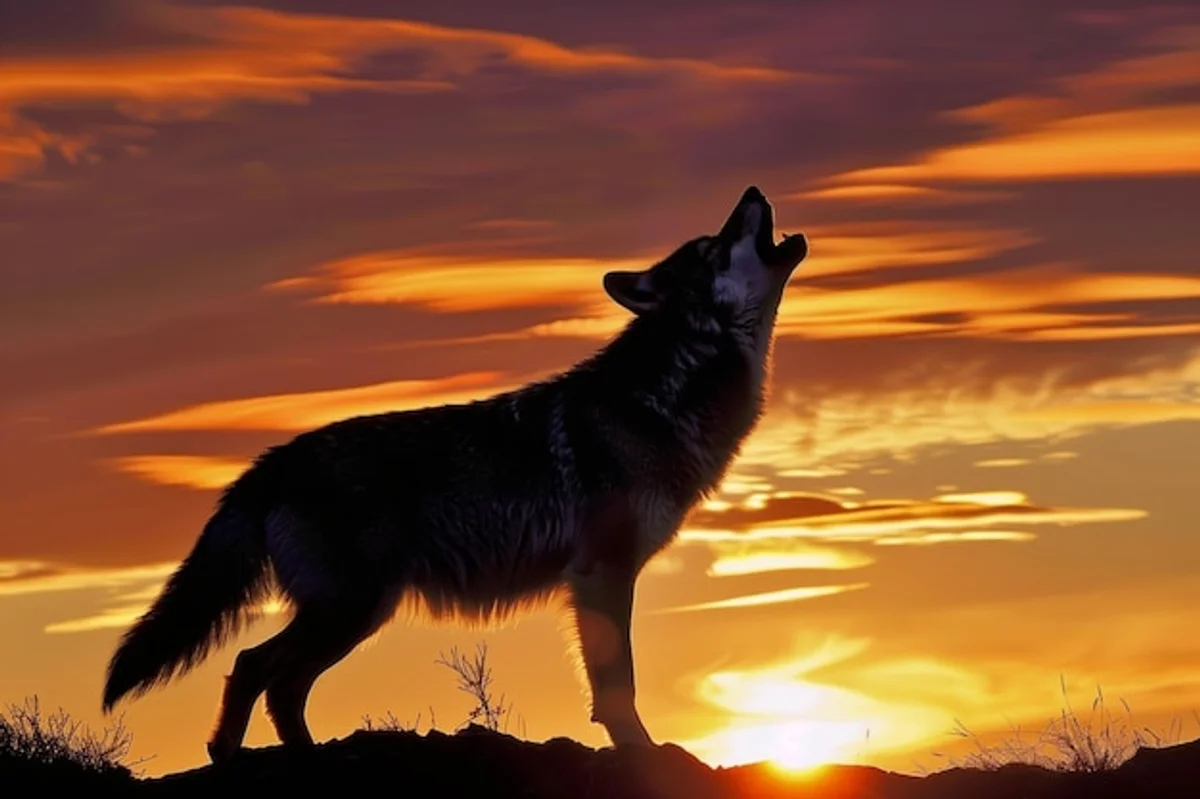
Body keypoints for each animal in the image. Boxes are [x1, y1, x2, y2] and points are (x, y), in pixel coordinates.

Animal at [101, 185, 808, 762]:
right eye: (713, 245)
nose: (753, 190)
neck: (665, 394)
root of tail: (271, 462)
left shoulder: (599, 576)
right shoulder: (602, 573)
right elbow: (618, 685)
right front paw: (643, 751)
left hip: (353, 614)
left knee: (280, 684)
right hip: (351, 609)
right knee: (256, 667)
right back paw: (235, 755)